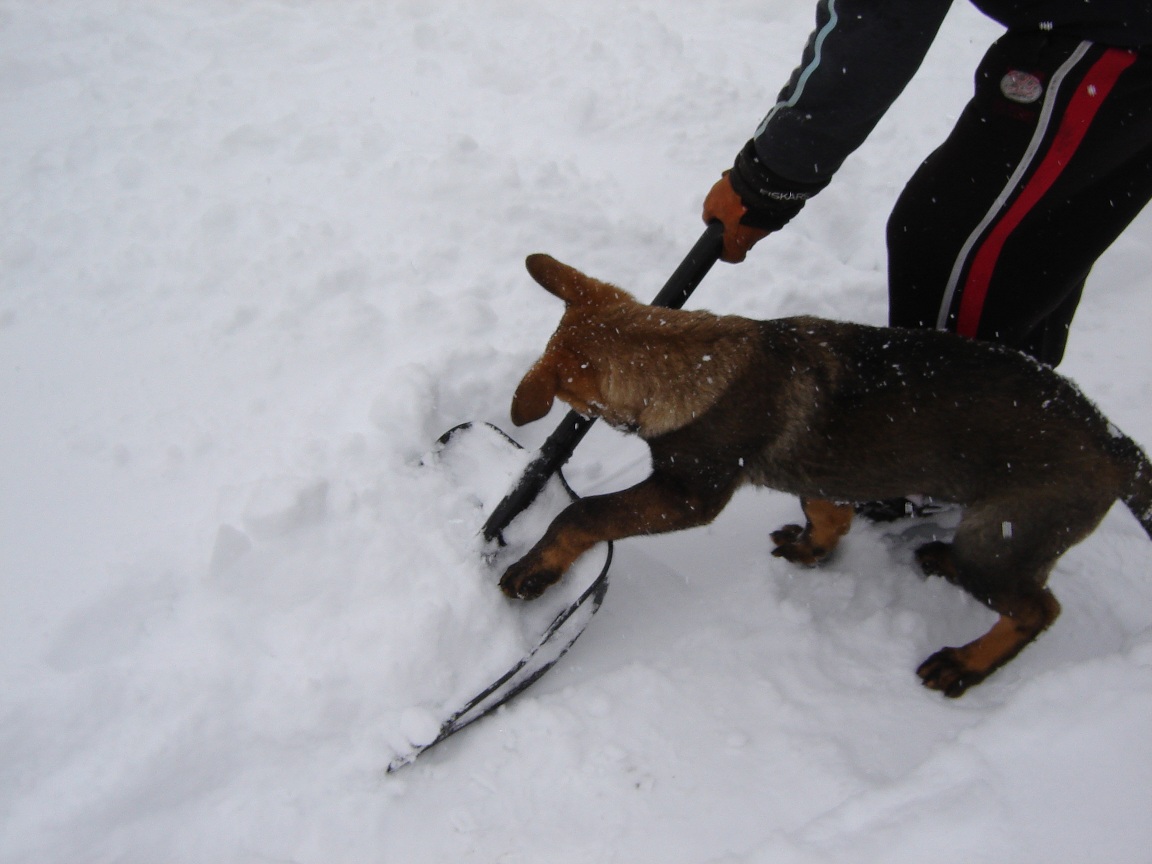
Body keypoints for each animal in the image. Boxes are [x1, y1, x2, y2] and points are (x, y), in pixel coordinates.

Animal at [498, 253, 1152, 696]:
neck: (688, 360)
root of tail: (1115, 443)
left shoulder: (688, 494)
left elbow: (582, 511)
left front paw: (534, 570)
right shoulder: (819, 474)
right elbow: (827, 510)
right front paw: (814, 548)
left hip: (1001, 540)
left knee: (1038, 609)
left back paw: (966, 663)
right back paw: (937, 561)